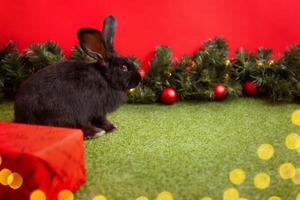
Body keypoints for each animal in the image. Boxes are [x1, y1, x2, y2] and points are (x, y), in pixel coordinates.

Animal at [13, 16, 141, 139]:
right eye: (123, 68)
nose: (139, 79)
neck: (105, 78)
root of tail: (22, 115)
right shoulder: (98, 109)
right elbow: (101, 119)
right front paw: (111, 127)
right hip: (65, 112)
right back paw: (95, 132)